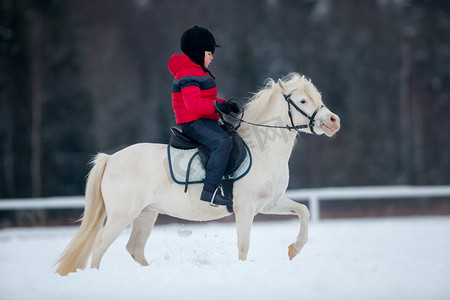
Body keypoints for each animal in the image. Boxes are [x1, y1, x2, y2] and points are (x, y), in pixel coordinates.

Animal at [54, 73, 340, 276]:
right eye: (302, 101)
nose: (333, 121)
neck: (262, 151)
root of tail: (111, 158)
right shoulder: (245, 208)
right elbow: (244, 245)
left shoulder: (271, 204)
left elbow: (304, 211)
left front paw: (294, 249)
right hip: (121, 216)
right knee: (100, 245)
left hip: (146, 214)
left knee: (134, 248)